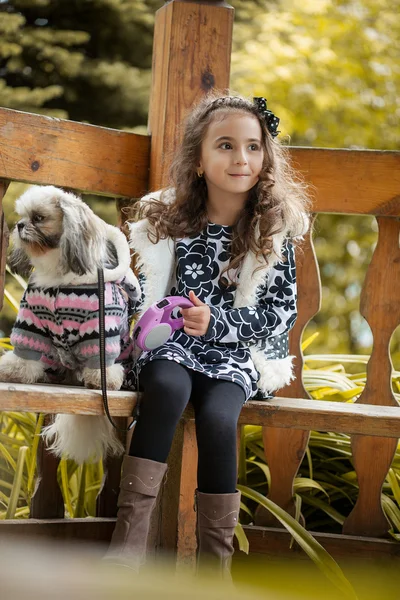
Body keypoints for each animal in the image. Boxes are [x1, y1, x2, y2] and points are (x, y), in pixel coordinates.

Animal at [0, 186, 141, 464]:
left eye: (38, 218)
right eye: (21, 216)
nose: (19, 226)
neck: (59, 279)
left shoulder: (99, 327)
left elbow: (100, 360)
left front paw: (102, 380)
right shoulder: (30, 319)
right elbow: (25, 350)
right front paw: (13, 370)